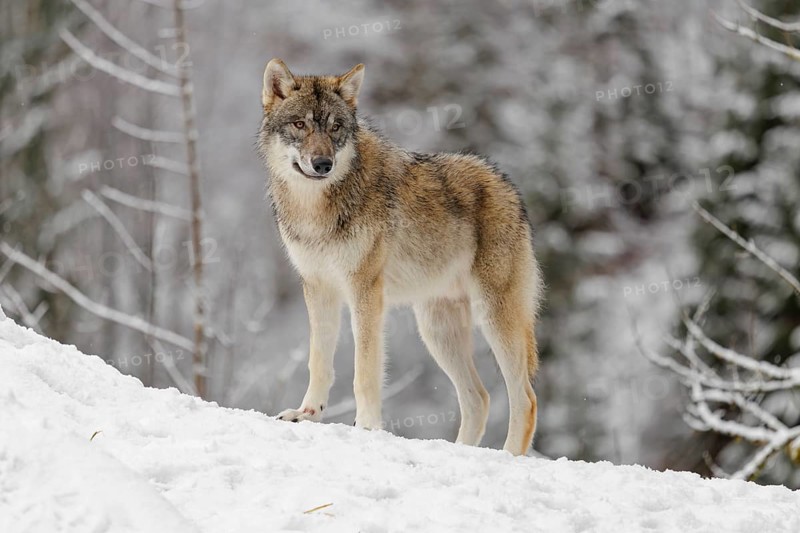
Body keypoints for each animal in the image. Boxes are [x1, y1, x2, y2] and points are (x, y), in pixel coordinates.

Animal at [257, 59, 543, 455]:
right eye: (300, 125)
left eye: (335, 127)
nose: (323, 163)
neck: (315, 208)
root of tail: (508, 186)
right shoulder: (318, 289)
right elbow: (319, 361)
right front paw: (308, 414)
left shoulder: (365, 292)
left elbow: (364, 371)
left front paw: (366, 427)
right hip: (436, 330)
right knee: (479, 398)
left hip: (494, 318)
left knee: (524, 400)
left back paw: (508, 457)